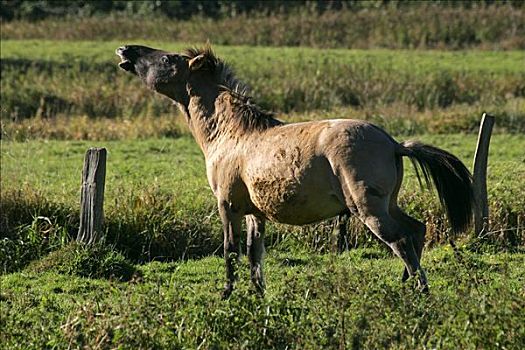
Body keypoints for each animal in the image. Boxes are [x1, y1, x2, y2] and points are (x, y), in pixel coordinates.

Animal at [115, 44, 474, 298]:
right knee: (416, 231)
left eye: (166, 59)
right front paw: (259, 296)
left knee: (400, 241)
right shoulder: (254, 213)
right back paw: (406, 285)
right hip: (389, 204)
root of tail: (393, 143)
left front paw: (227, 294)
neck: (231, 134)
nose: (125, 50)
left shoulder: (227, 206)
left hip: (368, 209)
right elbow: (254, 255)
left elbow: (231, 251)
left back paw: (419, 290)